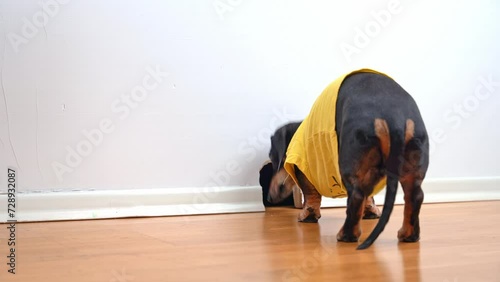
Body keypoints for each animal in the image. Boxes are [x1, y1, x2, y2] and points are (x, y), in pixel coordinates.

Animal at [268, 68, 428, 249]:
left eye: (272, 157)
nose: (269, 198)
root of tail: (392, 116)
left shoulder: (304, 169)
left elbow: (310, 193)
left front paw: (308, 215)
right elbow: (369, 195)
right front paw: (370, 212)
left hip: (348, 162)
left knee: (357, 196)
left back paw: (347, 235)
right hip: (413, 163)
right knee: (415, 196)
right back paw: (408, 235)